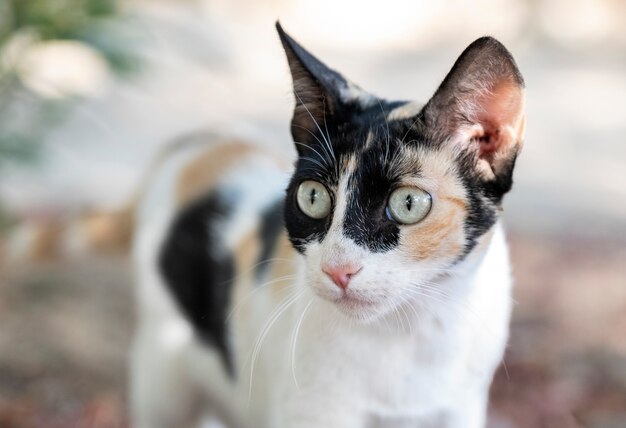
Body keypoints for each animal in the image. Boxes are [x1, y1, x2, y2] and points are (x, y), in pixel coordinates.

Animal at [129, 21, 524, 428]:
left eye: (408, 204)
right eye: (313, 196)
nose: (338, 270)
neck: (409, 334)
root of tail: (204, 138)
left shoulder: (460, 409)